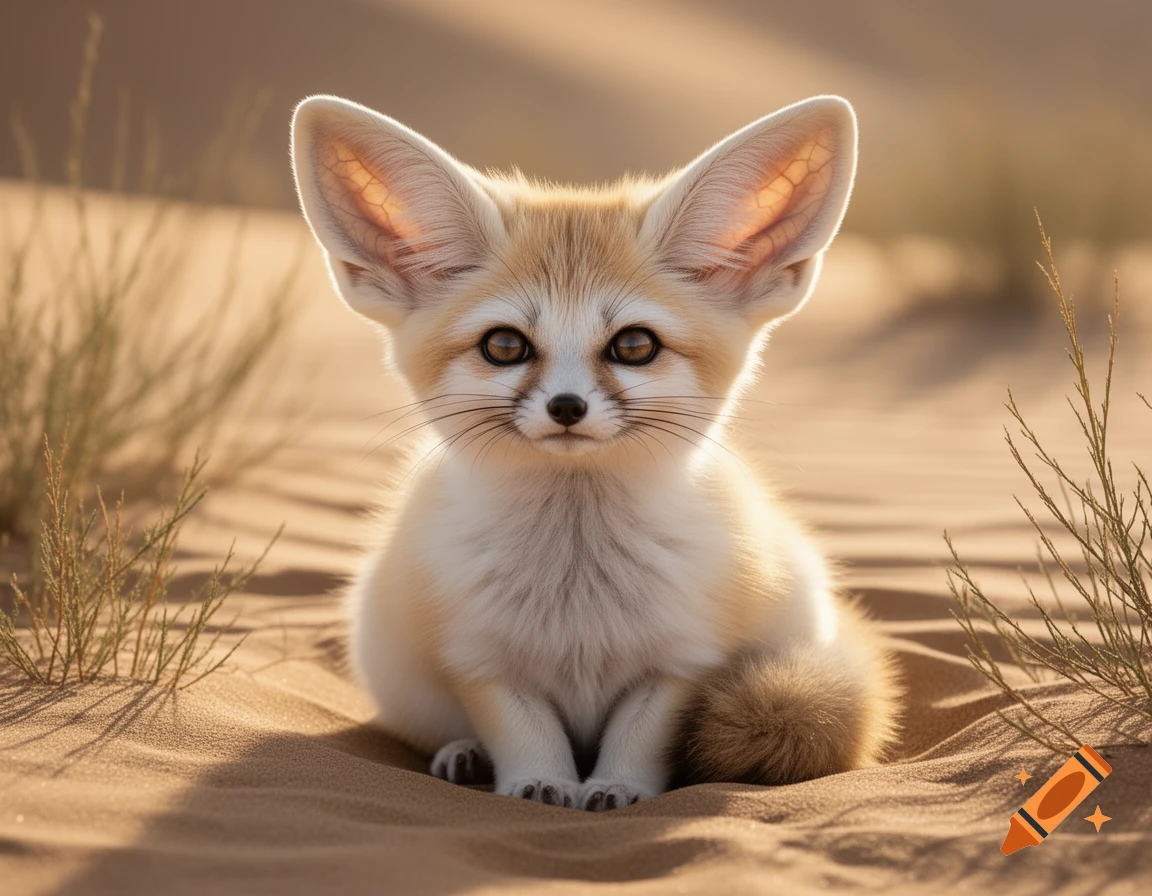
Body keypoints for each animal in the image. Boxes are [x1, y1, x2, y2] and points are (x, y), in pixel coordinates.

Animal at [291, 93, 898, 810]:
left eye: (634, 346)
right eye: (505, 346)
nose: (566, 407)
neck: (577, 576)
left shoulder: (677, 666)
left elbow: (639, 739)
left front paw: (617, 788)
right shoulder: (484, 663)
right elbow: (525, 734)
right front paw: (538, 783)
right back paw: (464, 753)